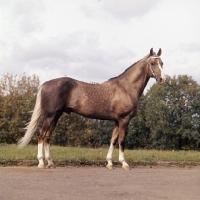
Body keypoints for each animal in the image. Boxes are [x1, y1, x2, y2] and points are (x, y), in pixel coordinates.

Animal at [18, 47, 166, 170]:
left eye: (162, 63)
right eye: (153, 63)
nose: (162, 79)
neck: (126, 87)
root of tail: (45, 84)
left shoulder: (117, 121)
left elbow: (113, 140)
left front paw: (109, 163)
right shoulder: (124, 119)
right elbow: (121, 140)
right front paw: (124, 163)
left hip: (56, 116)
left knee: (48, 136)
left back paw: (50, 163)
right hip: (50, 115)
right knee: (41, 134)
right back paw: (41, 162)